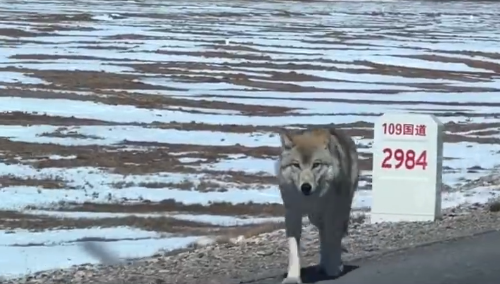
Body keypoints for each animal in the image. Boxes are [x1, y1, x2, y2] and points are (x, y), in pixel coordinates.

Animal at [276, 127, 358, 284]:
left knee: (334, 236)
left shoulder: (331, 214)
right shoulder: (292, 214)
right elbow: (293, 249)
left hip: (340, 210)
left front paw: (333, 269)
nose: (306, 187)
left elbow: (332, 240)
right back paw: (323, 265)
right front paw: (292, 277)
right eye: (296, 165)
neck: (310, 199)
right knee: (322, 233)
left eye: (316, 164)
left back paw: (333, 265)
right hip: (315, 217)